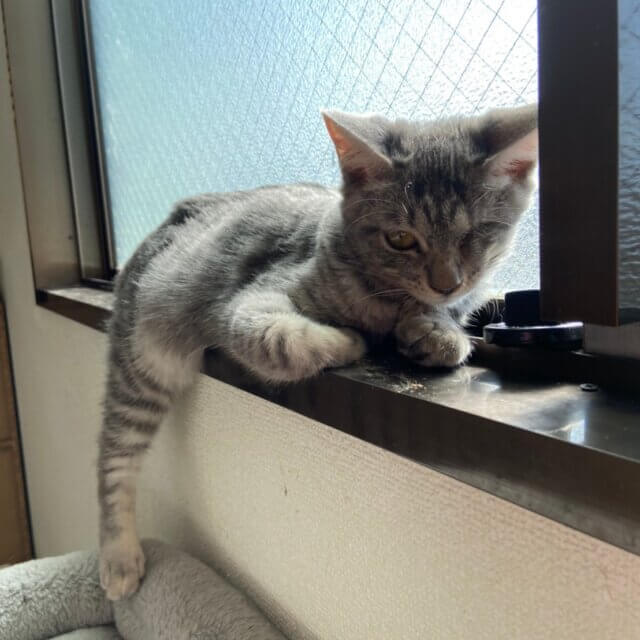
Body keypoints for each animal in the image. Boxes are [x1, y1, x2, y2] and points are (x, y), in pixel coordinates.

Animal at [98, 104, 538, 600]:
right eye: (401, 239)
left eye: (476, 234)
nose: (447, 283)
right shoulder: (250, 305)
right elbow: (286, 340)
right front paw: (355, 338)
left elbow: (450, 322)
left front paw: (435, 330)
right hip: (141, 364)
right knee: (113, 460)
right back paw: (119, 556)